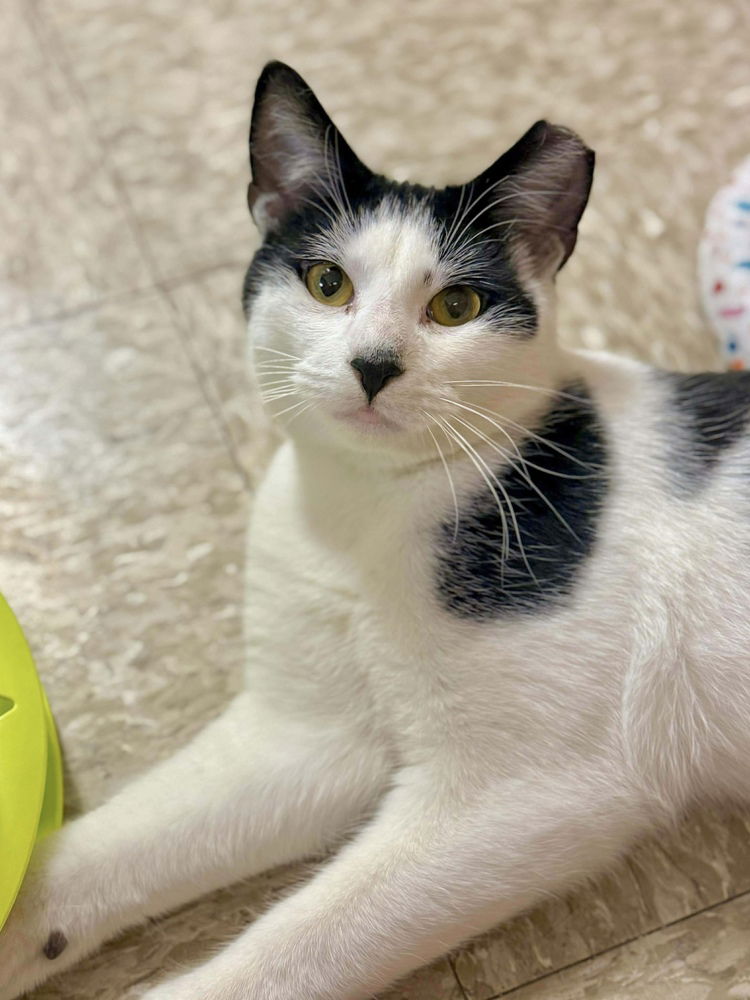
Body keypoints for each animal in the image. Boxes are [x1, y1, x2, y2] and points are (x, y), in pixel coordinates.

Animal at [3, 59, 750, 1000]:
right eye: (328, 283)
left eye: (457, 304)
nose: (374, 365)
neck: (365, 513)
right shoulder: (304, 736)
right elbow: (106, 847)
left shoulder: (526, 789)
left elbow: (299, 947)